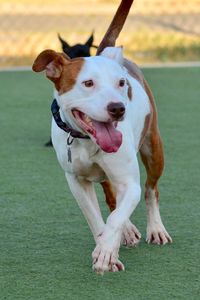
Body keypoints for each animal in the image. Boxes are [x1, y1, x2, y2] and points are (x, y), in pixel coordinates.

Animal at [32, 0, 172, 274]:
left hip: (153, 148)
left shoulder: (129, 181)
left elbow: (116, 216)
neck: (86, 140)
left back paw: (156, 229)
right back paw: (127, 232)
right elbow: (96, 218)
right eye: (87, 83)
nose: (118, 108)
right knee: (111, 197)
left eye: (121, 83)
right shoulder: (76, 181)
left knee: (151, 190)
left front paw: (107, 252)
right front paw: (108, 248)